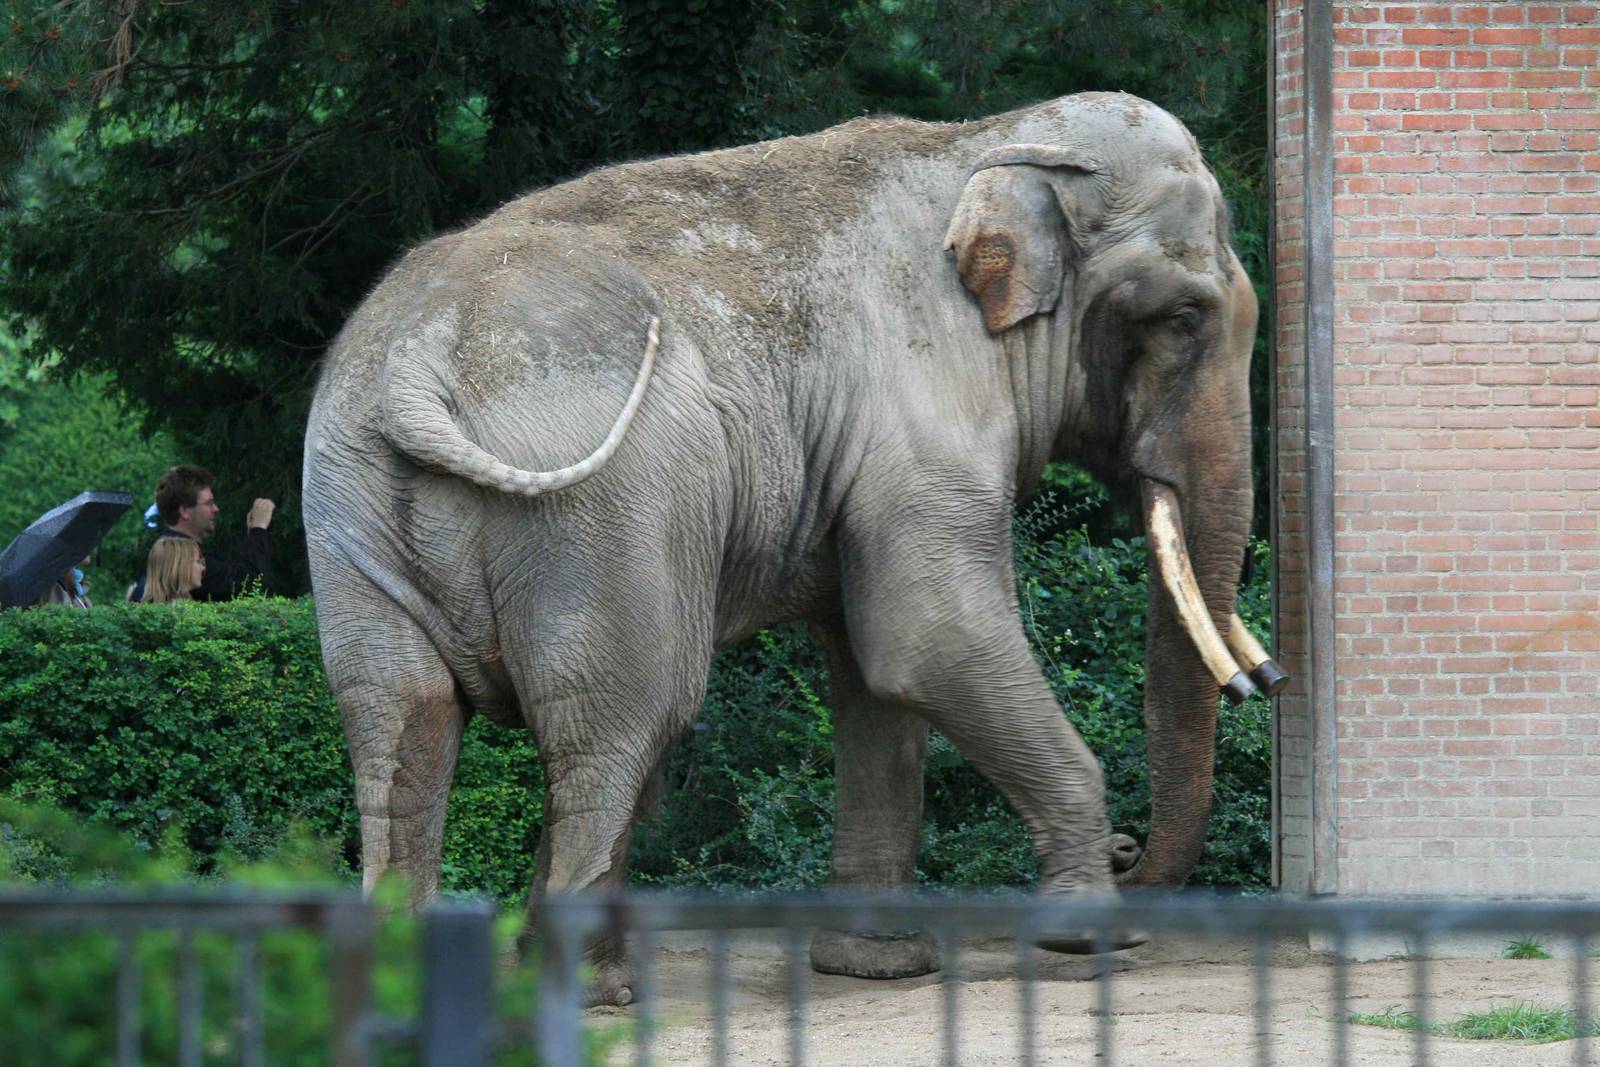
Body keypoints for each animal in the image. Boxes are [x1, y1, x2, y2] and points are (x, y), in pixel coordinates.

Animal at [303, 91, 1259, 1006]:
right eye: (1183, 316)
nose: (1129, 851)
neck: (987, 141)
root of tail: (419, 356)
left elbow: (874, 672)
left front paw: (879, 966)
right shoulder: (922, 413)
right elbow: (929, 640)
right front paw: (1086, 942)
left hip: (350, 512)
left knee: (402, 720)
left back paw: (413, 993)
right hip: (600, 516)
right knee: (623, 721)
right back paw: (589, 993)